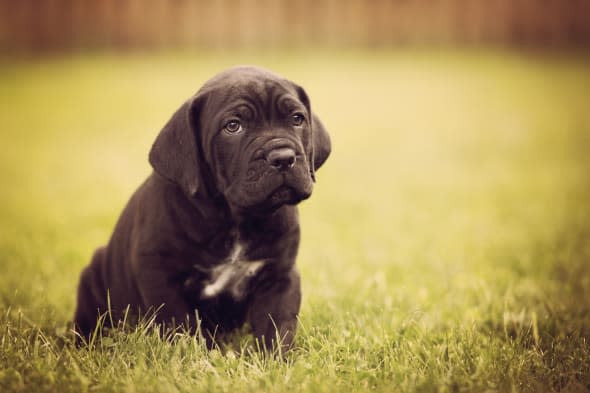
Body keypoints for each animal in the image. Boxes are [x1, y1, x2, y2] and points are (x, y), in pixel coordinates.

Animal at [73, 65, 332, 350]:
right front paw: (194, 354)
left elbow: (277, 325)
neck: (234, 219)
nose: (283, 157)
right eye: (233, 126)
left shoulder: (279, 275)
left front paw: (275, 358)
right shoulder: (159, 273)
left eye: (297, 119)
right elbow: (178, 323)